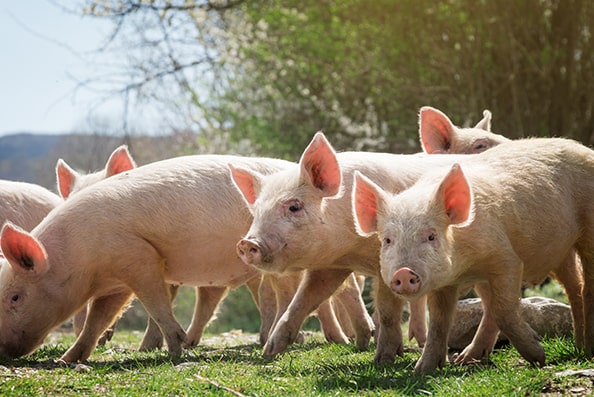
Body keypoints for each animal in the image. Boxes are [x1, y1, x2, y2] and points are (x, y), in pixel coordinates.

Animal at [0, 154, 370, 362]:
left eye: (15, 297)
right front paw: (67, 360)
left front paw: (176, 350)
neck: (82, 257)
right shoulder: (115, 283)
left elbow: (155, 303)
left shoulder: (138, 256)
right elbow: (97, 320)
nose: (2, 349)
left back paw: (353, 342)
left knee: (343, 288)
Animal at [230, 131, 468, 360]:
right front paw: (269, 352)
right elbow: (303, 300)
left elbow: (387, 309)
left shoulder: (387, 263)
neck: (354, 251)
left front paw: (382, 358)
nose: (246, 243)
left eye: (294, 207)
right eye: (256, 211)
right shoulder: (331, 266)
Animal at [352, 135, 592, 372]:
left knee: (584, 287)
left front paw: (539, 358)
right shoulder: (445, 282)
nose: (402, 272)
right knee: (574, 288)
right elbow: (439, 321)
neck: (465, 266)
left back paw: (585, 350)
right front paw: (423, 370)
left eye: (431, 236)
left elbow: (503, 310)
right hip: (562, 253)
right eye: (387, 240)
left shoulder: (505, 258)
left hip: (586, 229)